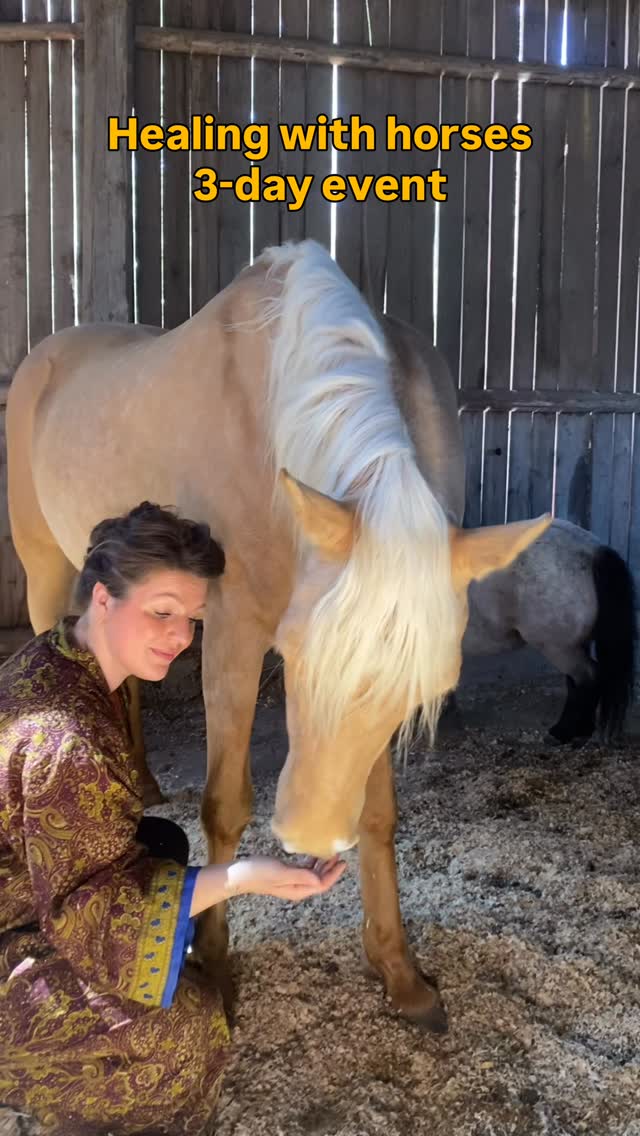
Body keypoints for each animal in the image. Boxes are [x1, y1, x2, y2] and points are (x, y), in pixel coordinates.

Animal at [6, 239, 550, 1030]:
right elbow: (225, 804)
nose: (310, 839)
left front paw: (399, 972)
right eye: (291, 654)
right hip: (46, 567)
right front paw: (213, 962)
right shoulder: (232, 637)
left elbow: (379, 814)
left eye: (429, 687)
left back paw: (140, 775)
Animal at [449, 519, 636, 745]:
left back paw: (565, 733)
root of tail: (593, 549)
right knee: (575, 682)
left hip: (557, 647)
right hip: (573, 645)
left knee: (588, 678)